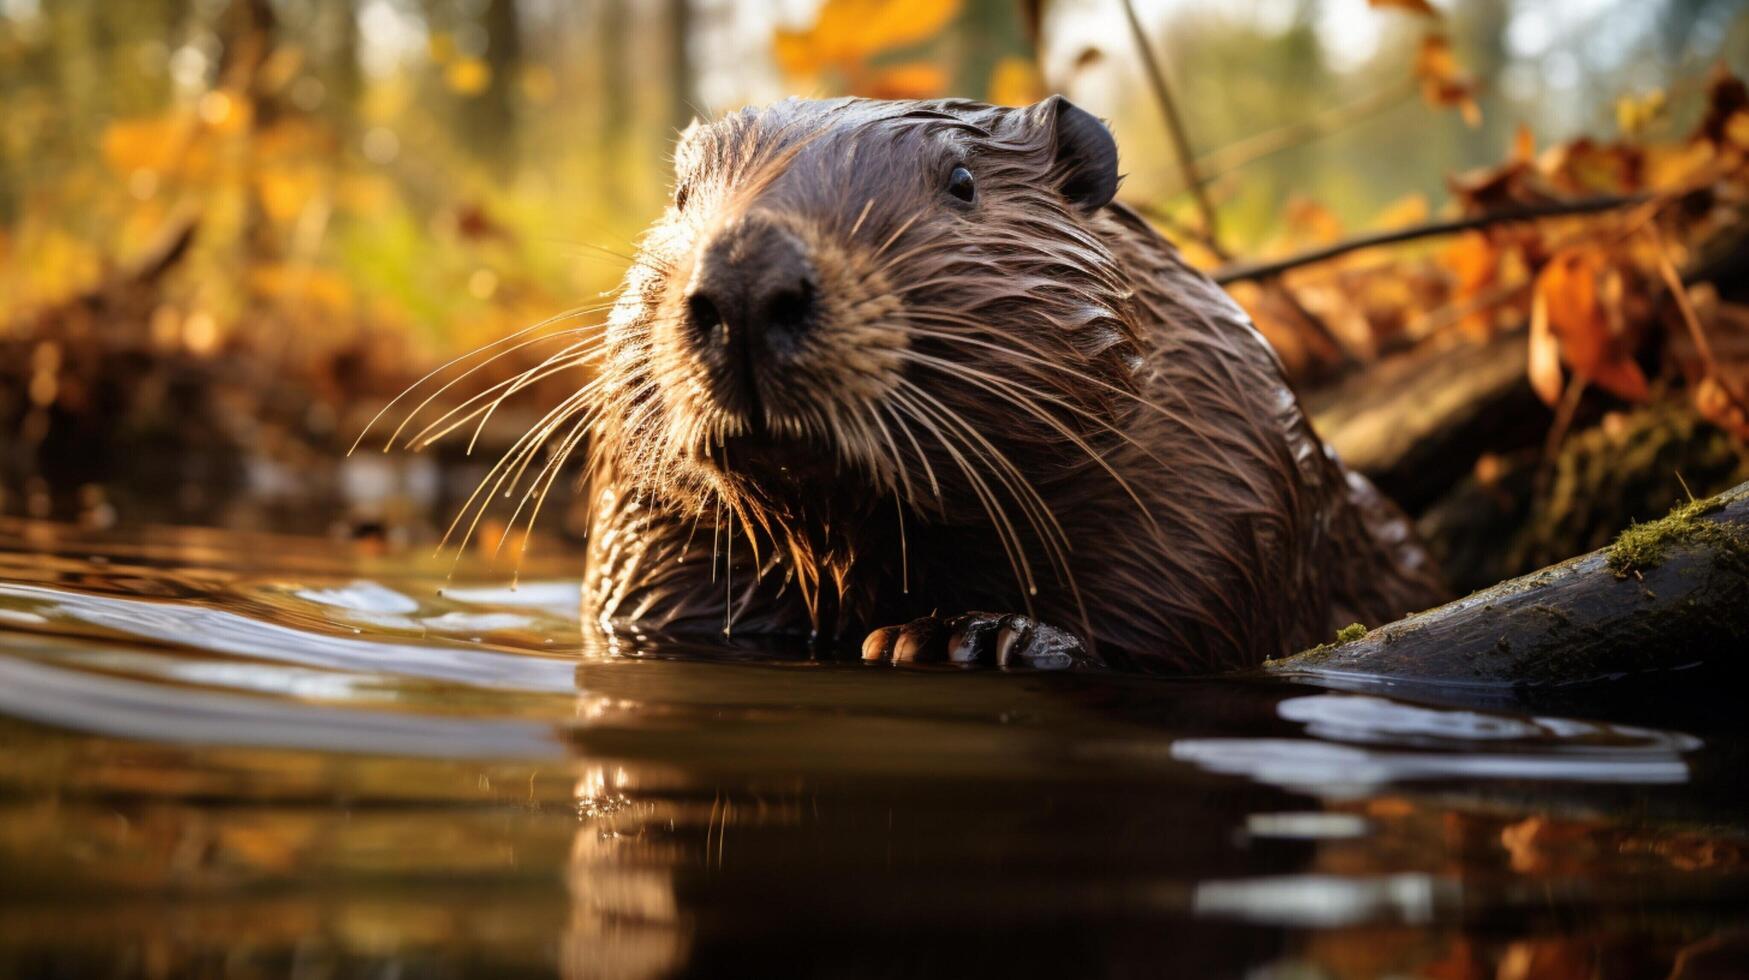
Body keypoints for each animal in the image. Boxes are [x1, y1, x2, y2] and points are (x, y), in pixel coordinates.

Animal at [566, 95, 1441, 672]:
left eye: (961, 181)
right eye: (682, 195)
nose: (747, 276)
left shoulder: (1225, 486)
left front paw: (963, 635)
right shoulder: (648, 522)